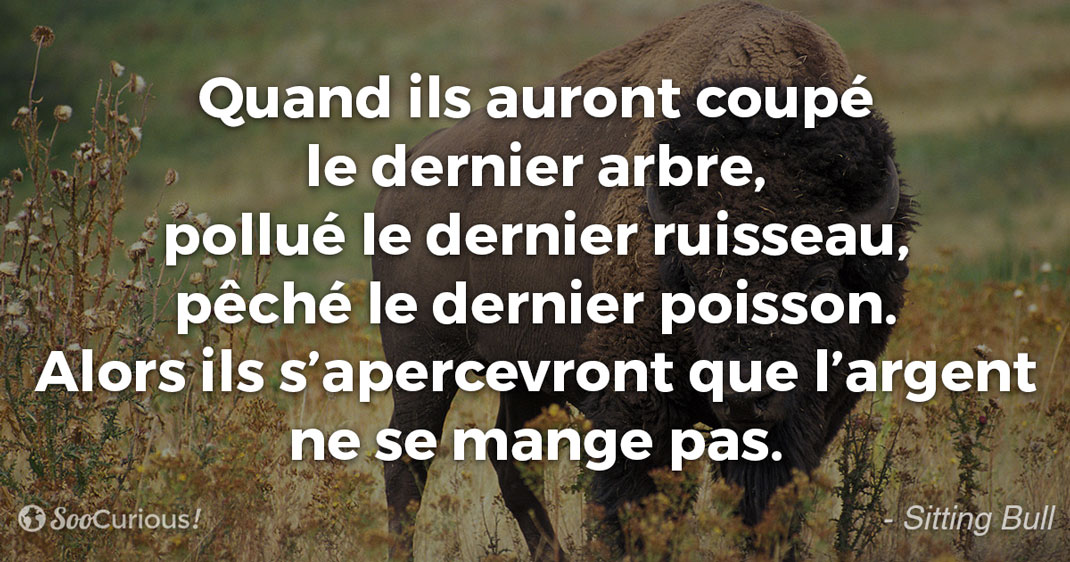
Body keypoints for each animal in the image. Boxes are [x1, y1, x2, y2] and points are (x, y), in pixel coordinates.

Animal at [372, 1, 914, 559]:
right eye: (692, 279)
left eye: (823, 279)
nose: (745, 399)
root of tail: (403, 175)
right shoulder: (635, 398)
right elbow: (636, 502)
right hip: (424, 362)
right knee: (407, 467)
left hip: (523, 372)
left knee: (511, 459)